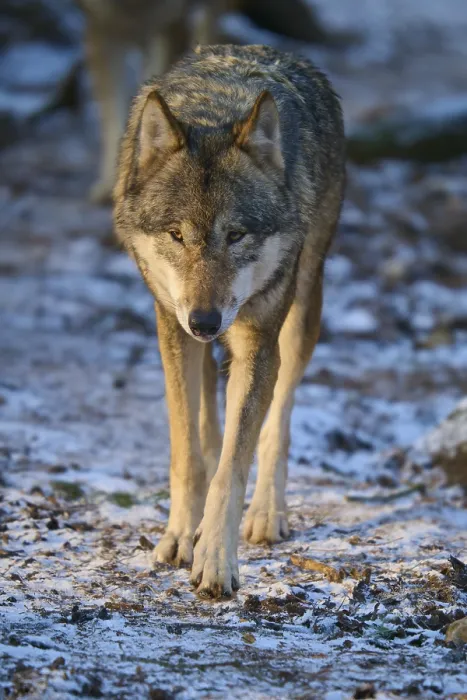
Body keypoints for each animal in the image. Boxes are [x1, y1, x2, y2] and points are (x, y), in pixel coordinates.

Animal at [113, 44, 345, 597]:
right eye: (176, 235)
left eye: (236, 235)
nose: (205, 319)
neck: (215, 114)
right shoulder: (171, 328)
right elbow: (188, 453)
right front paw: (180, 536)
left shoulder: (259, 343)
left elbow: (233, 466)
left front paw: (216, 560)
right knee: (208, 424)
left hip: (301, 314)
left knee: (277, 421)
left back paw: (265, 512)